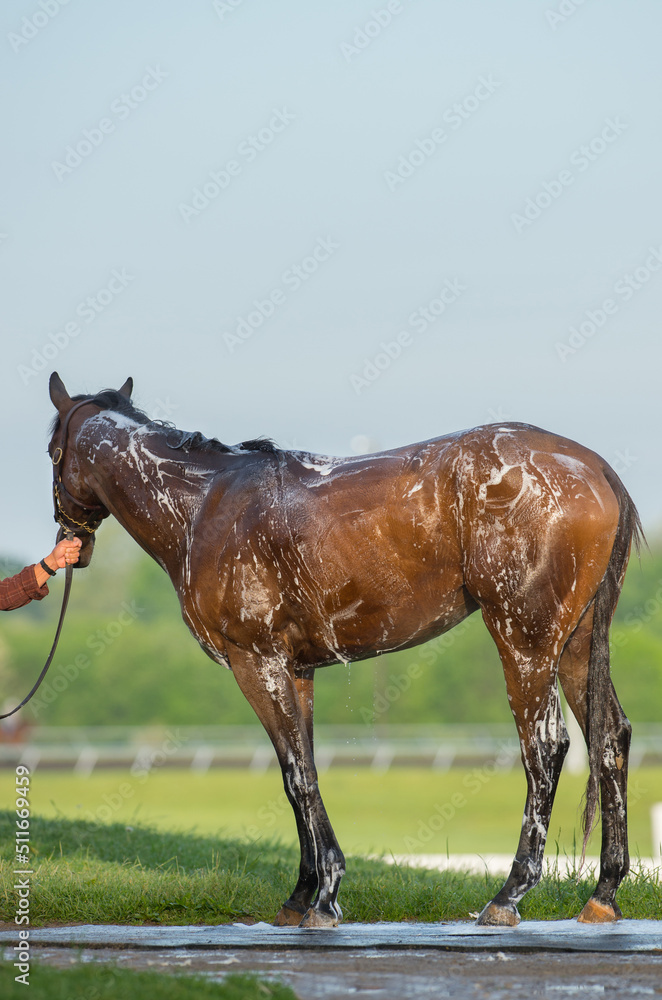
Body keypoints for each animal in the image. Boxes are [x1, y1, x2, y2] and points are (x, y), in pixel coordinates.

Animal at [47, 372, 643, 928]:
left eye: (52, 448)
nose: (71, 543)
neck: (201, 503)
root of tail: (594, 467)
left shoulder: (255, 662)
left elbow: (297, 775)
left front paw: (326, 896)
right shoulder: (297, 671)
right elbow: (302, 772)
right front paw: (301, 895)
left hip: (525, 641)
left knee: (545, 747)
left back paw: (508, 895)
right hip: (575, 646)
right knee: (610, 738)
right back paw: (603, 894)